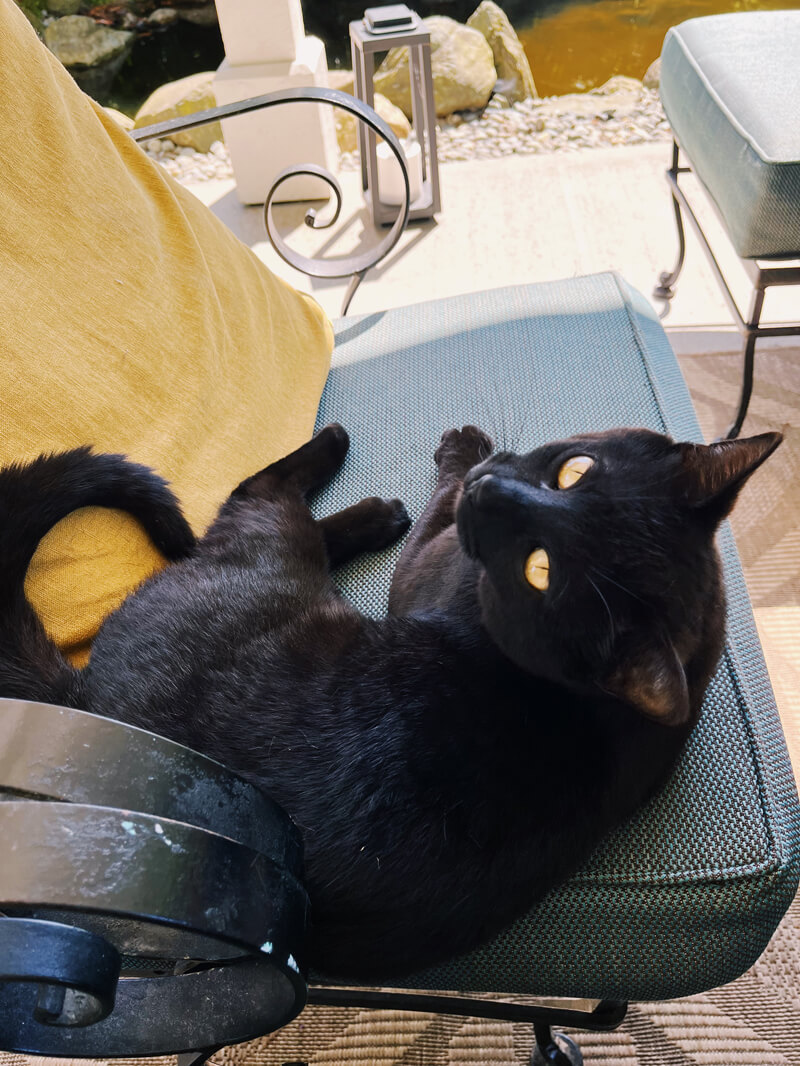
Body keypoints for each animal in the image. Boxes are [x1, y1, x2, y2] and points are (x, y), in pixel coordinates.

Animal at [0, 422, 780, 976]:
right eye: (575, 471)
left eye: (542, 571)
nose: (496, 493)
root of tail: (82, 699)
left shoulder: (422, 573)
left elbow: (443, 501)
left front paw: (459, 455)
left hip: (272, 555)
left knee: (261, 498)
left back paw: (358, 474)